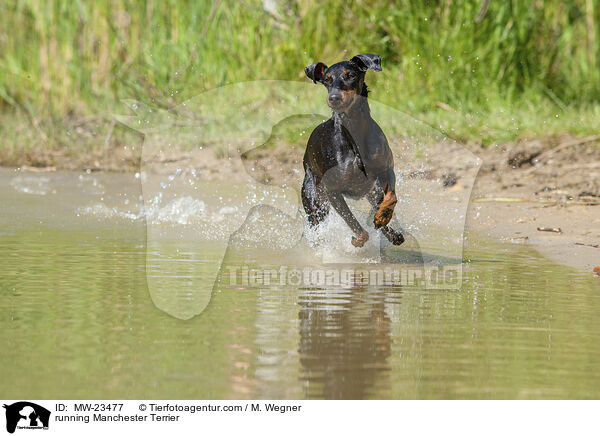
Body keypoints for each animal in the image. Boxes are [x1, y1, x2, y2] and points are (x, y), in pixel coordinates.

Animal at [304, 52, 404, 247]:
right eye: (327, 80)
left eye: (349, 75)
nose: (334, 98)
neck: (355, 129)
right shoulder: (332, 191)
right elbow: (354, 224)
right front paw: (358, 239)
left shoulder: (386, 169)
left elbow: (391, 197)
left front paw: (383, 216)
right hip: (314, 199)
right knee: (315, 223)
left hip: (372, 191)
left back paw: (391, 232)